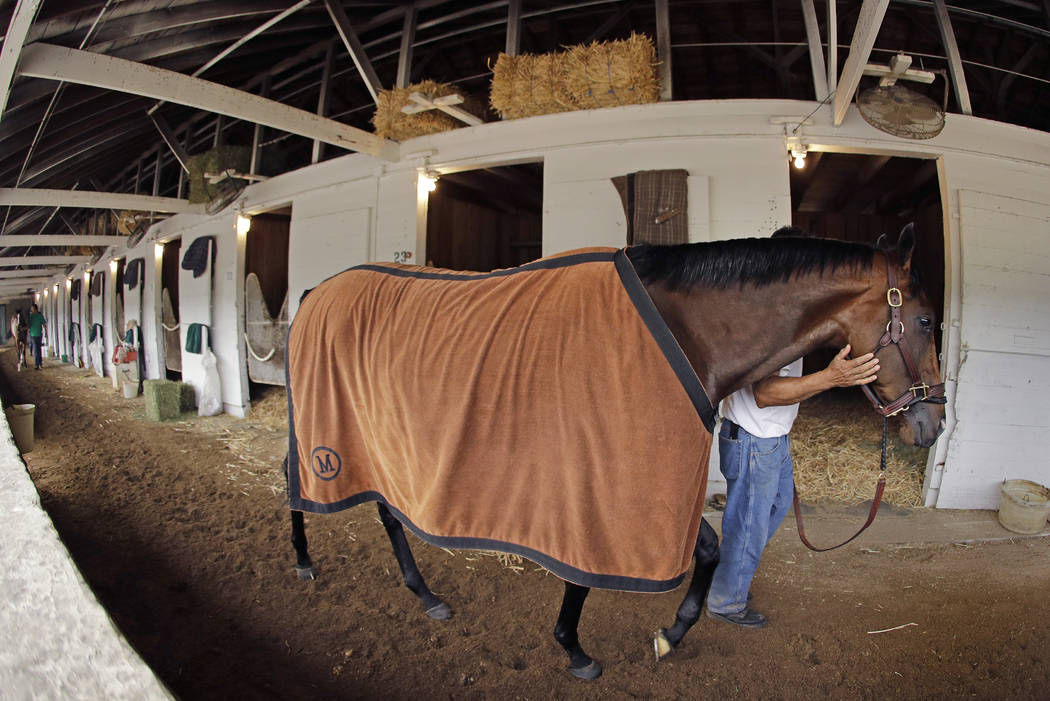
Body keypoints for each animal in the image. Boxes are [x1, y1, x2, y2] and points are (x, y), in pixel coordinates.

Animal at [279, 223, 944, 680]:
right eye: (927, 321)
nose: (933, 422)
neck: (685, 330)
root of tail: (314, 293)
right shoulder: (600, 481)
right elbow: (584, 575)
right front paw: (576, 651)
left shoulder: (653, 492)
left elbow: (708, 551)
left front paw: (670, 635)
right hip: (326, 426)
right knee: (303, 479)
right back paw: (305, 562)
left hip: (377, 437)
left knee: (384, 508)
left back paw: (425, 595)